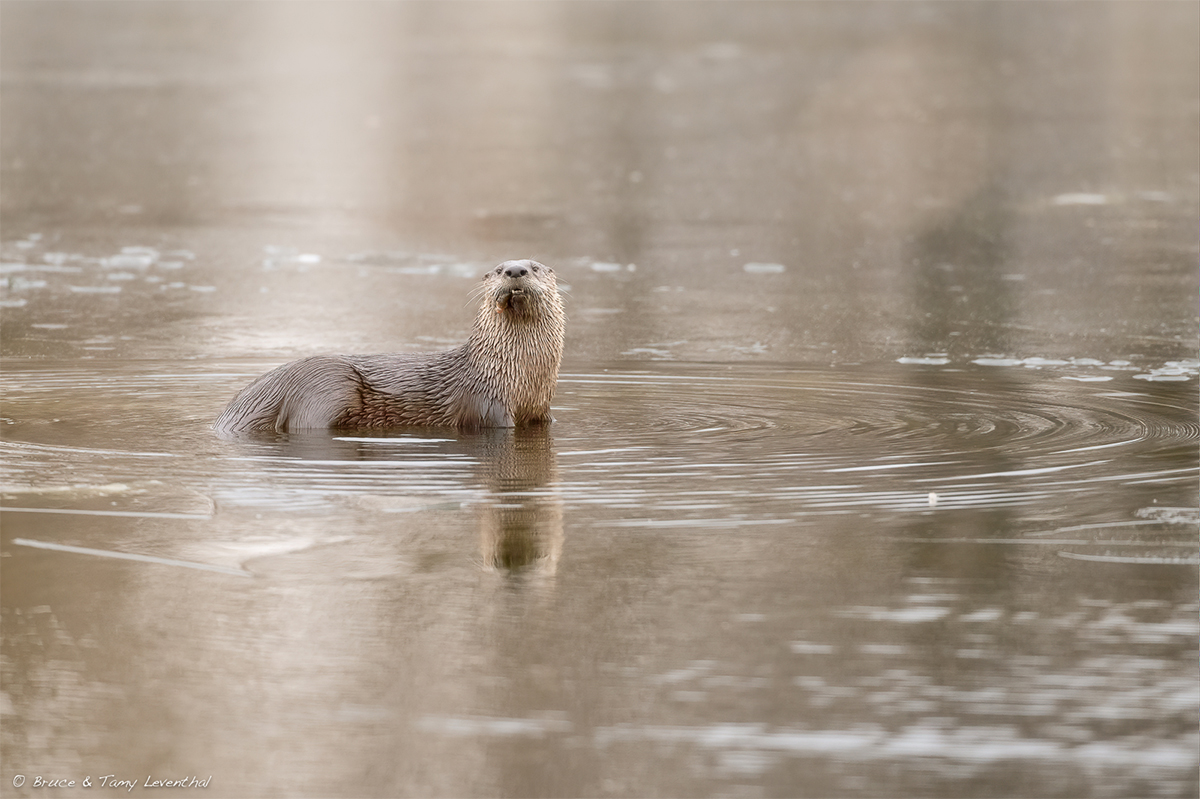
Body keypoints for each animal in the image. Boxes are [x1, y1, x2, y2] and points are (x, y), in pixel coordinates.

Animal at [214, 257, 561, 431]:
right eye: (500, 269)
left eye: (534, 267)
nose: (515, 270)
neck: (518, 375)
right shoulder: (488, 407)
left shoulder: (542, 412)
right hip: (325, 389)